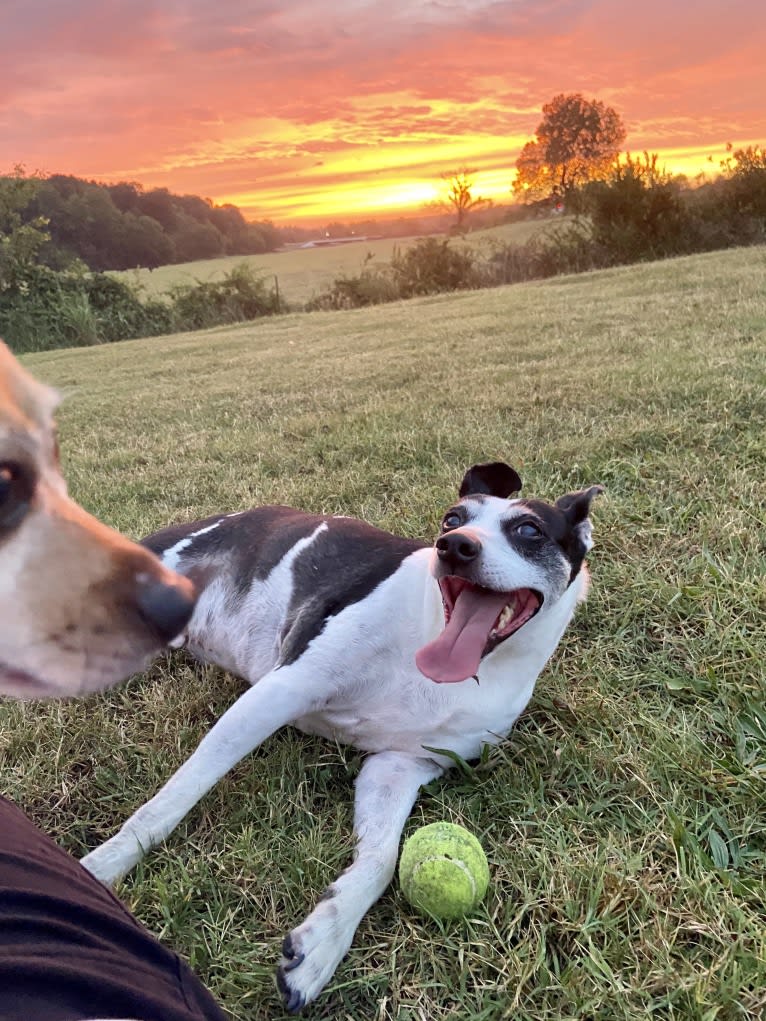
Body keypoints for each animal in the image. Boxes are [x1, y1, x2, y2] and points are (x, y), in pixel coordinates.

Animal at [81, 463, 604, 1012]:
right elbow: (169, 802)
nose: (455, 546)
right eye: (452, 519)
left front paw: (323, 943)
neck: (430, 637)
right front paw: (101, 870)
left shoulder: (399, 766)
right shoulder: (281, 690)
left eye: (529, 530)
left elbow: (381, 860)